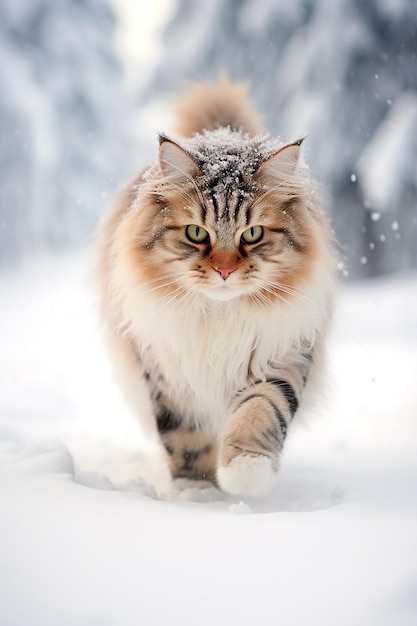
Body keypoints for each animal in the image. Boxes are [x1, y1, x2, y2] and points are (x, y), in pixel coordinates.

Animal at [95, 78, 334, 494]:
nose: (224, 270)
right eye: (196, 233)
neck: (220, 315)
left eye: (252, 234)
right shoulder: (169, 375)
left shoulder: (283, 355)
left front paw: (245, 474)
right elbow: (186, 441)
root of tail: (223, 132)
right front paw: (198, 491)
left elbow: (260, 411)